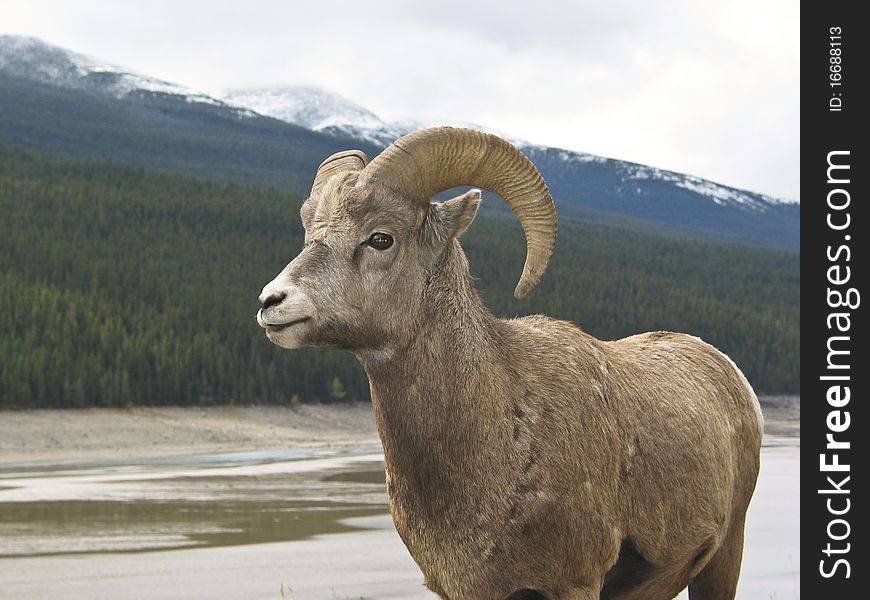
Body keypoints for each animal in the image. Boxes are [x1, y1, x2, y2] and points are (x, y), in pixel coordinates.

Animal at [258, 126, 764, 600]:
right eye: (309, 233)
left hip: (726, 555)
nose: (271, 302)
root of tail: (730, 373)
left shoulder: (575, 584)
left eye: (381, 238)